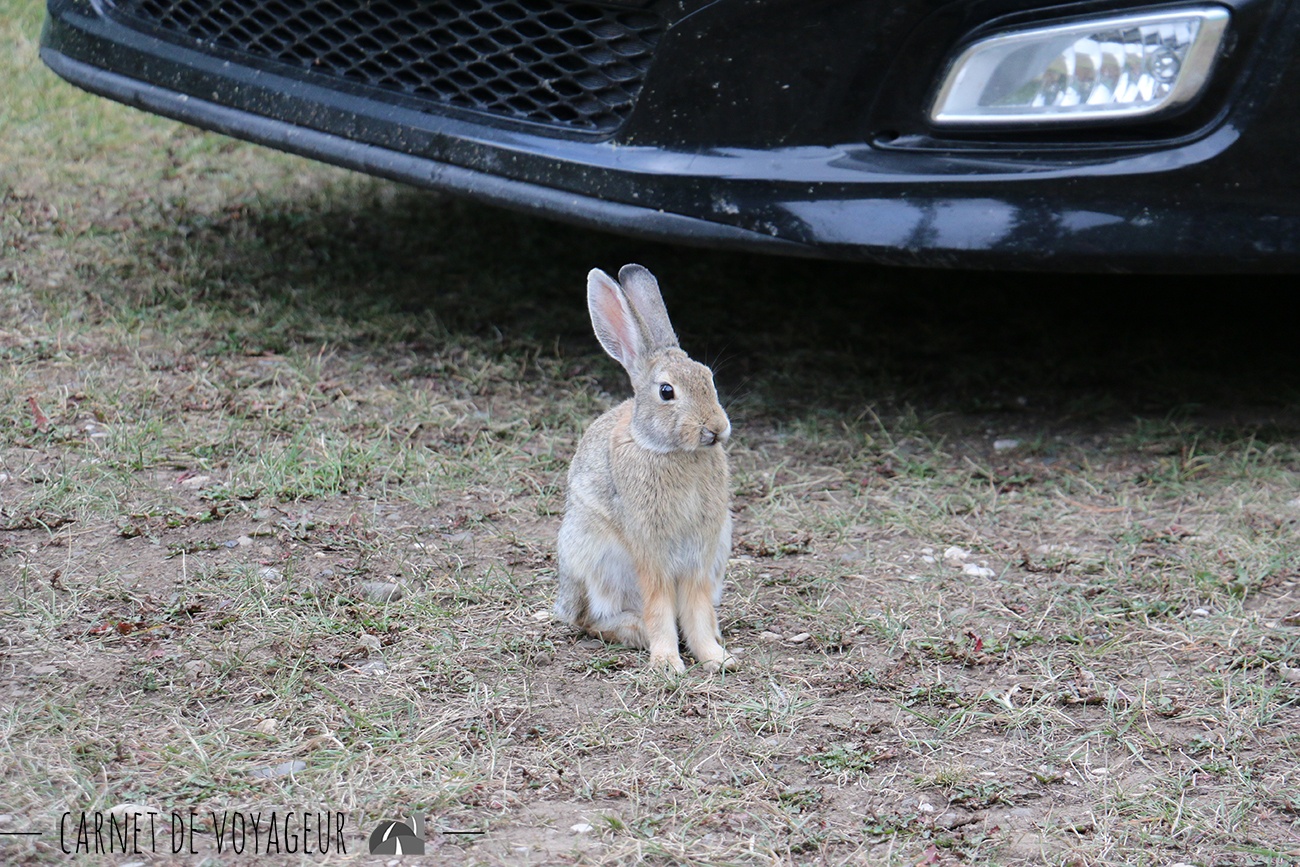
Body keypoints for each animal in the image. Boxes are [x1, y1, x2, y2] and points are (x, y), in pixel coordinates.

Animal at [555, 264, 736, 674]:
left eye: (710, 379)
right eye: (667, 392)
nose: (716, 429)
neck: (672, 451)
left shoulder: (701, 552)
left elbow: (697, 608)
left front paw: (717, 658)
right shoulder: (650, 550)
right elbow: (659, 605)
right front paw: (667, 661)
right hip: (593, 558)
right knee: (590, 620)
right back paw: (634, 631)